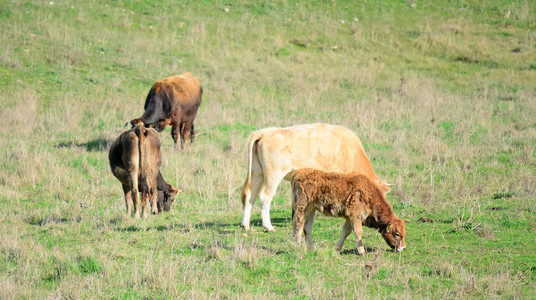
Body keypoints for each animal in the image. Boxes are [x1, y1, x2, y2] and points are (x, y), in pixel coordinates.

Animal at [240, 123, 390, 233]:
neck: (351, 152)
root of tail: (264, 132)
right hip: (273, 175)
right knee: (265, 197)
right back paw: (268, 226)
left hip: (257, 173)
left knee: (250, 196)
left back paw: (245, 225)